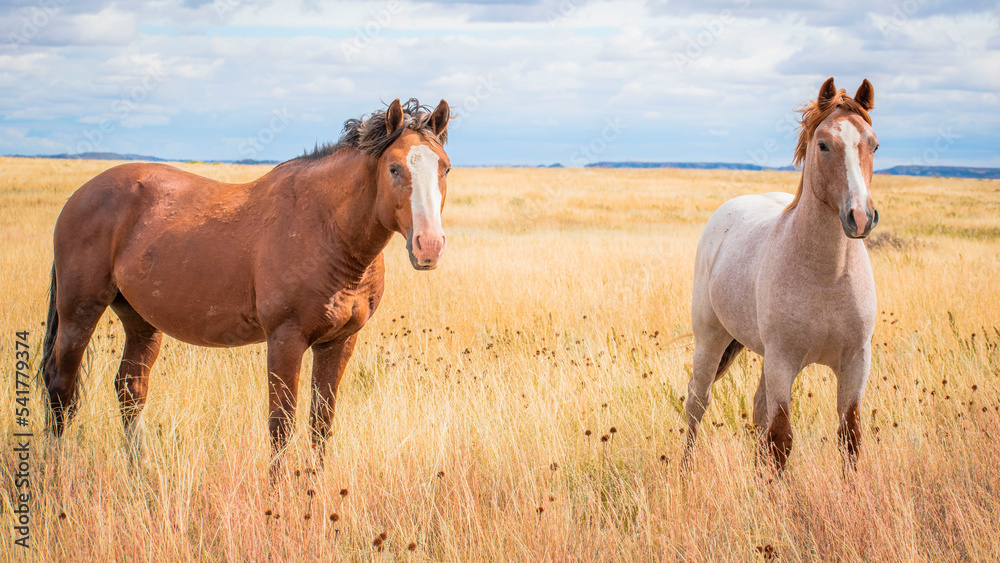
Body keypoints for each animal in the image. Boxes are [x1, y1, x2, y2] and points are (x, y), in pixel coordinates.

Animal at [40, 98, 452, 470]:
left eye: (445, 169)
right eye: (394, 168)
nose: (429, 245)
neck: (326, 228)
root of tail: (81, 195)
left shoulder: (339, 342)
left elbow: (321, 424)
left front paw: (314, 488)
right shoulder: (286, 339)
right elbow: (281, 426)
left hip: (141, 320)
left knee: (130, 388)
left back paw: (142, 471)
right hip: (80, 312)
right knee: (60, 387)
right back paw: (53, 473)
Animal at [684, 78, 879, 471]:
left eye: (874, 144)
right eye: (823, 144)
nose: (860, 217)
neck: (827, 275)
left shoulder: (856, 362)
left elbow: (849, 438)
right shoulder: (782, 361)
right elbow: (781, 440)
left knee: (757, 408)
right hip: (711, 340)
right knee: (697, 402)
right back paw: (684, 470)